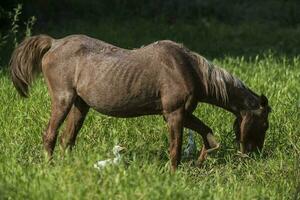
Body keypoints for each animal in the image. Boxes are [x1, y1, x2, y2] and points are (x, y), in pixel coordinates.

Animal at [9, 34, 272, 170]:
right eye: (265, 124)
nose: (254, 155)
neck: (189, 69)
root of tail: (53, 43)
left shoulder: (180, 113)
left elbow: (209, 137)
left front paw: (199, 161)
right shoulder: (174, 114)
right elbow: (176, 147)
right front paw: (173, 172)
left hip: (80, 106)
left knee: (67, 139)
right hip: (63, 100)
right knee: (50, 135)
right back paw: (49, 166)